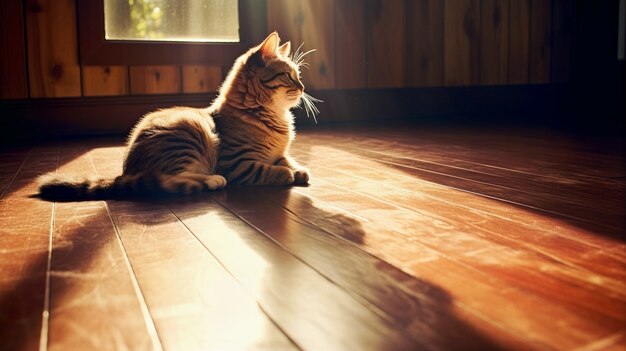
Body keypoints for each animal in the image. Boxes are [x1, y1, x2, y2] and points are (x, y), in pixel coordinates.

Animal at [39, 32, 316, 201]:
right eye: (289, 76)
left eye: (299, 76)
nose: (304, 87)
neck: (275, 118)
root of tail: (127, 172)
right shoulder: (238, 164)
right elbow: (271, 170)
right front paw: (288, 175)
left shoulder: (279, 154)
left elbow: (289, 161)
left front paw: (300, 171)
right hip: (190, 135)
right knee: (171, 179)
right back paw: (213, 180)